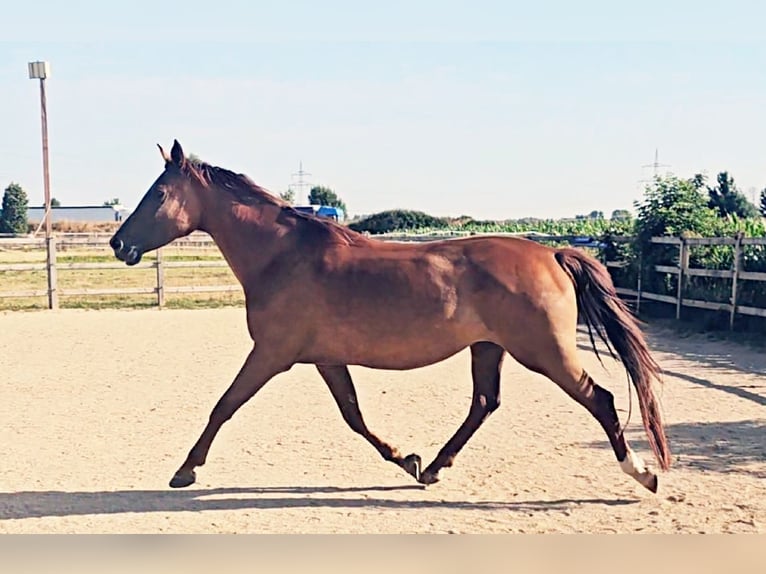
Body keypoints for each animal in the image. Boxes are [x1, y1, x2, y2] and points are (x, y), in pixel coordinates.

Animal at [109, 140, 670, 493]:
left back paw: (644, 473)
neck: (283, 254)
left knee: (599, 399)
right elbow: (354, 416)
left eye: (158, 193)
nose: (118, 243)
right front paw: (408, 460)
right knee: (484, 403)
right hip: (489, 348)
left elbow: (223, 406)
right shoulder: (324, 359)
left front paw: (185, 471)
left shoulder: (270, 354)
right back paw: (435, 468)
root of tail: (552, 252)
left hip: (545, 352)